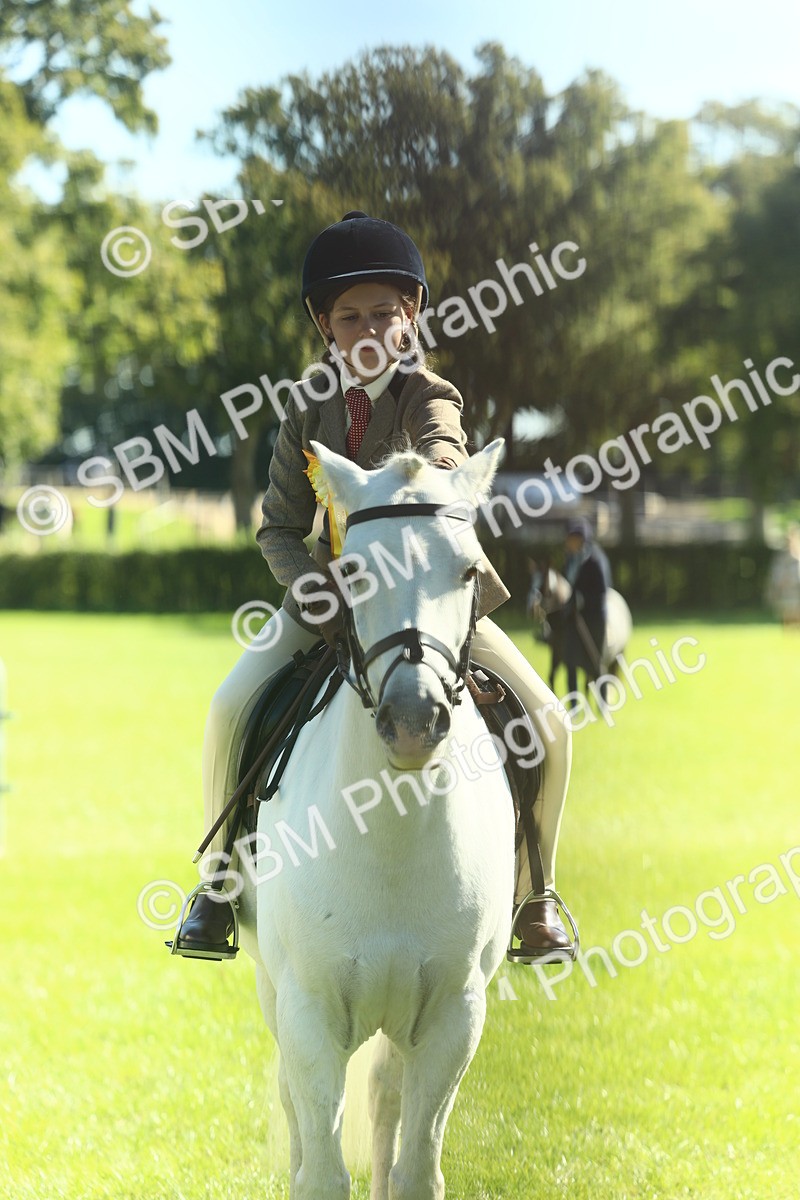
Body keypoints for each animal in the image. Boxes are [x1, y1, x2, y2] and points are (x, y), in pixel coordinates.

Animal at [234, 438, 516, 1199]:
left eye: (469, 570)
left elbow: (418, 1166)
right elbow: (321, 1169)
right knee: (292, 1105)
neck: (392, 830)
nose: (414, 721)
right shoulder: (306, 1012)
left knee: (387, 1095)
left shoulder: (453, 1017)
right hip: (272, 989)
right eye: (354, 571)